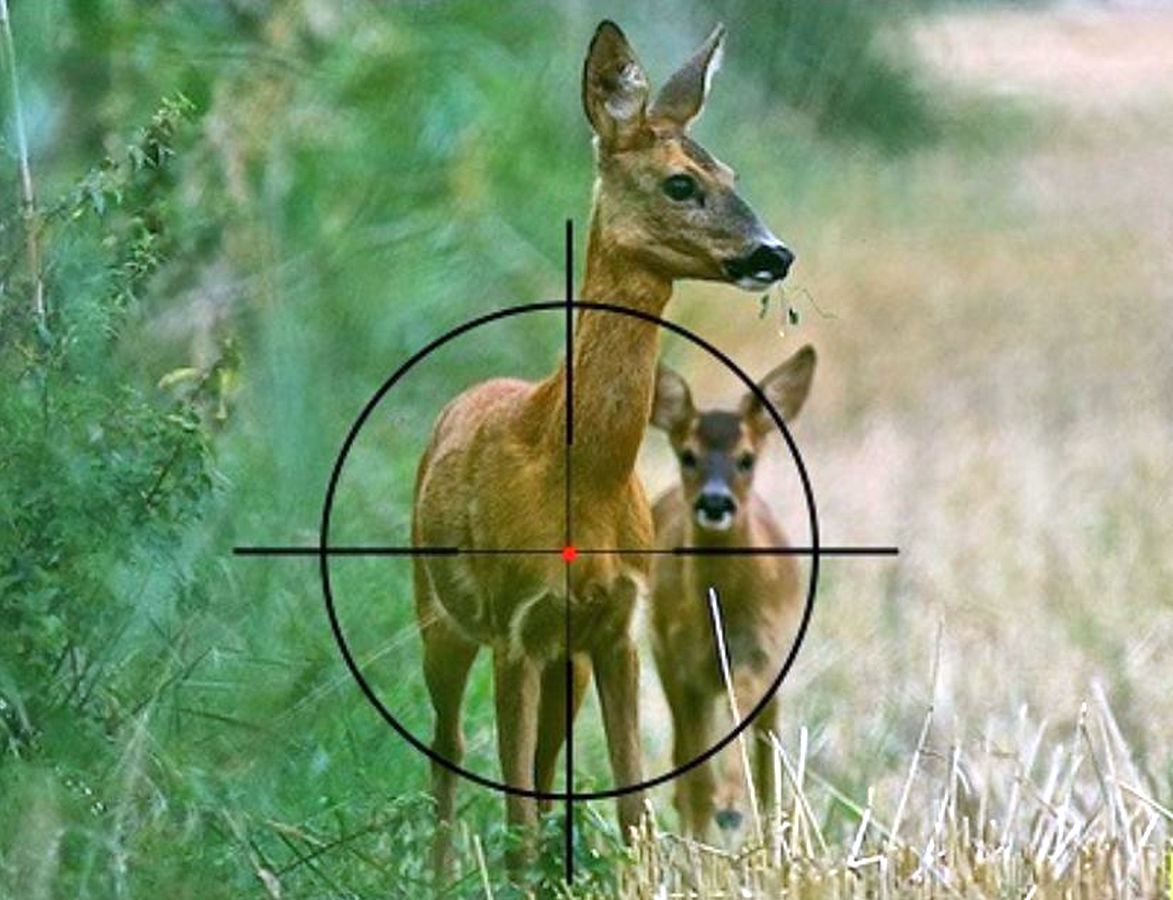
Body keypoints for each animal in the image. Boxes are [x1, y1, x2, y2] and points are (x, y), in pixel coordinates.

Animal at [411, 20, 795, 876]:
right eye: (680, 184)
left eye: (730, 171)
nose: (774, 252)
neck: (577, 475)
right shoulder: (514, 625)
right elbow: (517, 813)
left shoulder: (615, 627)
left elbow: (632, 808)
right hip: (438, 615)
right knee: (448, 748)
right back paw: (443, 875)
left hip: (571, 662)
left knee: (543, 764)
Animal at [647, 345, 816, 842]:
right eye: (688, 455)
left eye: (746, 458)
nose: (715, 501)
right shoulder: (679, 660)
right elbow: (694, 772)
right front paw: (712, 818)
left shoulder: (759, 652)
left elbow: (748, 741)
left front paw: (732, 804)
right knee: (685, 761)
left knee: (766, 756)